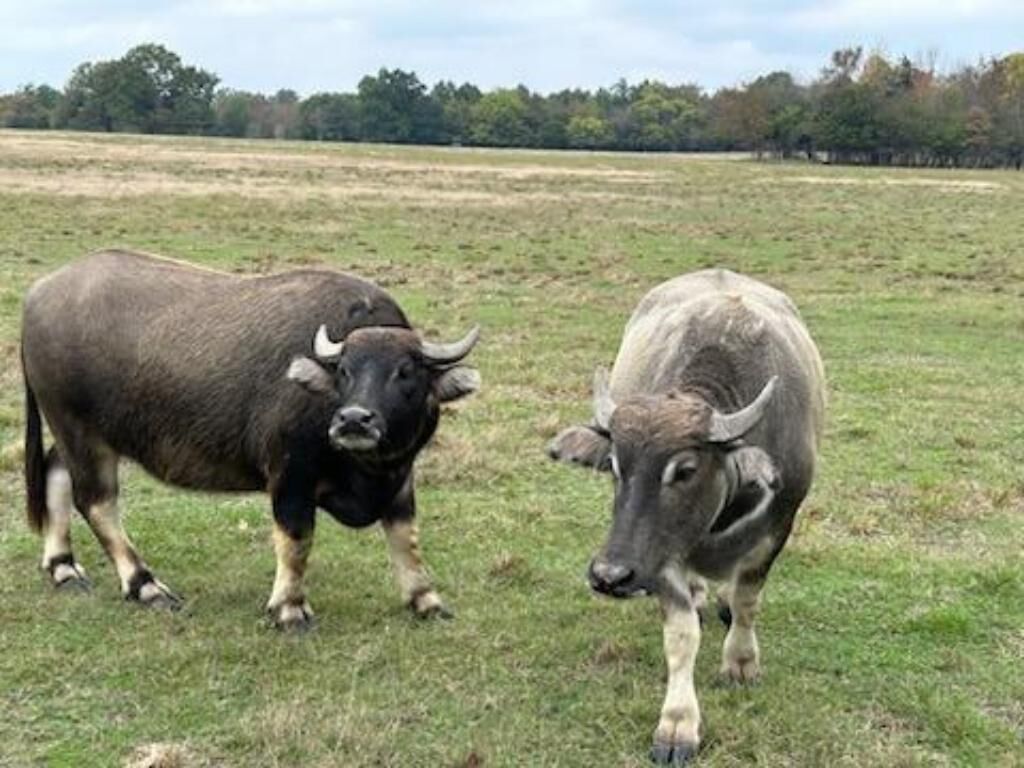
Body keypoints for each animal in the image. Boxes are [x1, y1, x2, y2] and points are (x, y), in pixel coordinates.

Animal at [21, 249, 481, 630]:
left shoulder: (401, 477)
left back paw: (63, 567)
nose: (354, 420)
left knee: (56, 472)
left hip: (76, 432)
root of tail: (38, 294)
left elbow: (406, 535)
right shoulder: (290, 476)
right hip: (81, 433)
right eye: (345, 371)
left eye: (406, 372)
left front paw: (426, 600)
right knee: (97, 502)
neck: (367, 469)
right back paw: (144, 585)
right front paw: (290, 609)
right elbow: (296, 539)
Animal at [548, 269, 825, 764]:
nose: (609, 576)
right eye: (615, 465)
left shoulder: (779, 526)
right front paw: (677, 725)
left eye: (686, 470)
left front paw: (740, 662)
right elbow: (680, 635)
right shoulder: (658, 554)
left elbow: (748, 599)